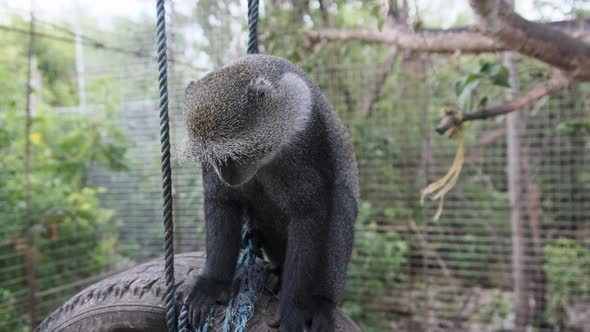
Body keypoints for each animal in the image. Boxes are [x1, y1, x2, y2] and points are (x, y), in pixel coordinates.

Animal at [178, 53, 358, 330]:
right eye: (213, 157)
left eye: (233, 153)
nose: (225, 173)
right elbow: (221, 202)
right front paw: (212, 284)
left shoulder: (304, 137)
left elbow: (310, 213)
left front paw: (292, 310)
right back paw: (277, 272)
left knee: (342, 207)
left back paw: (322, 302)